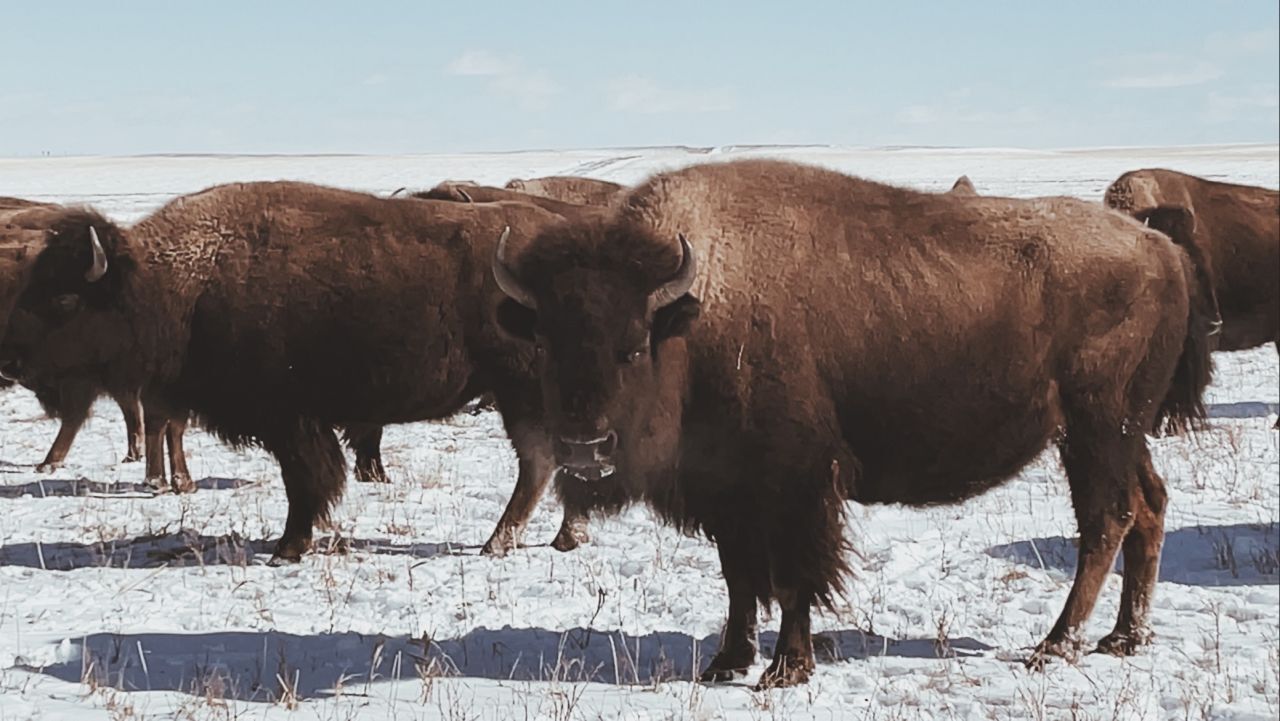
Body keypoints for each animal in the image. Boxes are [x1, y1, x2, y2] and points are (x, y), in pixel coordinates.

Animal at [0, 181, 593, 563]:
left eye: (65, 300)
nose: (13, 362)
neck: (176, 281)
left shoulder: (291, 420)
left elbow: (306, 482)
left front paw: (287, 549)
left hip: (524, 393)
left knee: (542, 461)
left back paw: (502, 542)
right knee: (560, 461)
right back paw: (561, 538)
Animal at [494, 158, 1213, 686]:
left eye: (633, 346)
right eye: (545, 344)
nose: (585, 447)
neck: (694, 314)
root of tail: (1159, 247)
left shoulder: (795, 487)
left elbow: (792, 579)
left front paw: (786, 669)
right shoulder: (729, 495)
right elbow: (738, 579)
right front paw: (725, 663)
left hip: (1096, 427)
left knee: (1107, 518)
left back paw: (1055, 645)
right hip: (1123, 432)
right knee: (1149, 506)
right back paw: (1123, 638)